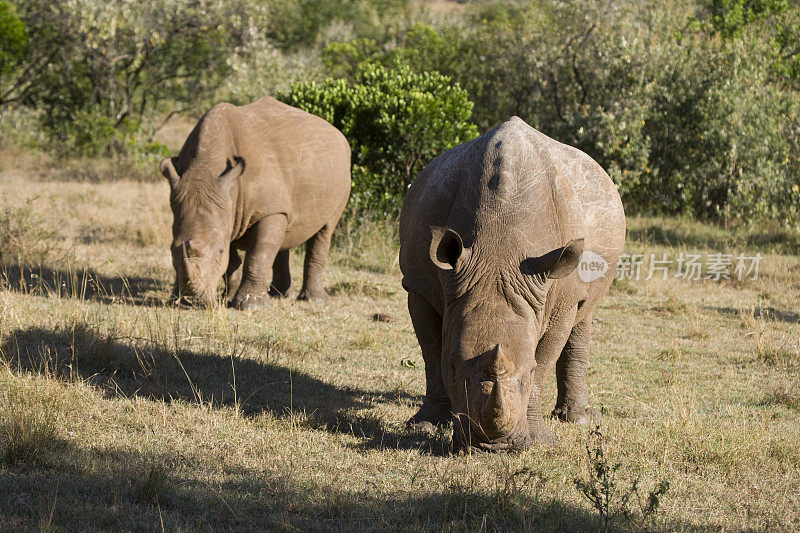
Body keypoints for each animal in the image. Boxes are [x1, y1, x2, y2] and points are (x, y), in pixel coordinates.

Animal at [160, 96, 350, 308]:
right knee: (283, 232)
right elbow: (233, 261)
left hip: (341, 174)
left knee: (325, 230)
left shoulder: (265, 208)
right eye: (171, 250)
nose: (190, 302)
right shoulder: (226, 207)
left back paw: (314, 300)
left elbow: (258, 254)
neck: (204, 168)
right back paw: (280, 295)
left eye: (219, 251)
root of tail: (338, 133)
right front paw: (228, 298)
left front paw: (251, 305)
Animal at [400, 115, 624, 448]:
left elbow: (544, 361)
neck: (497, 254)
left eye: (527, 371)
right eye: (453, 367)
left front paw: (539, 439)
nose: (493, 446)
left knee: (585, 310)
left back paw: (578, 420)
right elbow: (430, 353)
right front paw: (426, 425)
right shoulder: (419, 285)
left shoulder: (555, 294)